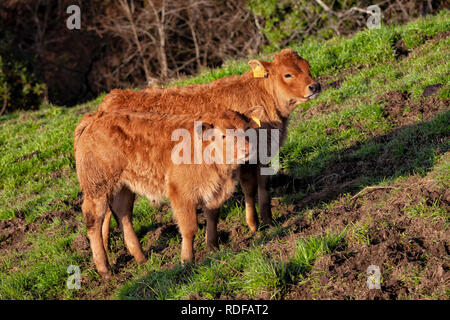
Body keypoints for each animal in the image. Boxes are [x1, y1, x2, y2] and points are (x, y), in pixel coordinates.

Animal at [97, 48, 320, 232]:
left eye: (308, 67)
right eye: (288, 74)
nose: (315, 86)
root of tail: (110, 98)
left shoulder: (263, 155)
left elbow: (264, 188)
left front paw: (268, 220)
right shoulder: (246, 160)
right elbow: (249, 189)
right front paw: (253, 224)